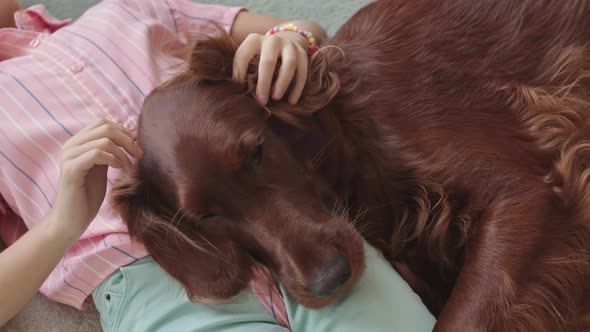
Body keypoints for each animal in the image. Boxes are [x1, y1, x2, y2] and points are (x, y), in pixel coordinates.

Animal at [113, 1, 590, 330]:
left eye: (258, 152)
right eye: (208, 217)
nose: (330, 279)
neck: (351, 139)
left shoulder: (527, 194)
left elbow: (462, 319)